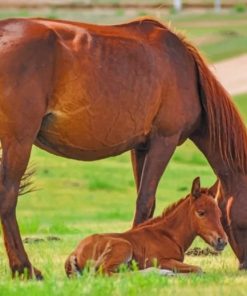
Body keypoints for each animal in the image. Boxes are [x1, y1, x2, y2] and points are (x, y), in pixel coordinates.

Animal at [64, 178, 228, 278]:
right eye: (201, 213)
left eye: (219, 214)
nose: (222, 241)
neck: (168, 235)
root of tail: (75, 252)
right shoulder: (161, 260)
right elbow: (198, 269)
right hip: (123, 246)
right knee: (106, 274)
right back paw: (158, 272)